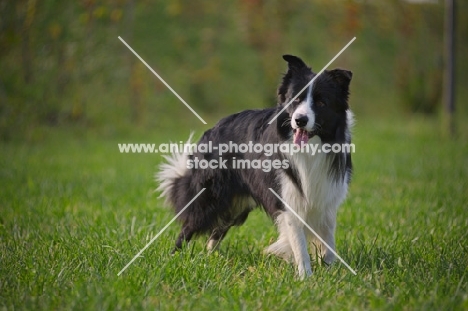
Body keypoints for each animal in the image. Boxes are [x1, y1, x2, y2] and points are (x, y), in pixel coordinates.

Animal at [155, 54, 352, 280]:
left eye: (320, 102)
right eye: (295, 100)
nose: (300, 120)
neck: (311, 148)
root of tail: (213, 129)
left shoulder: (327, 198)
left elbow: (328, 244)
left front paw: (330, 271)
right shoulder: (288, 200)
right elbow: (300, 245)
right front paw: (305, 278)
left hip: (236, 205)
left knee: (215, 233)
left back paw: (211, 260)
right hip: (211, 198)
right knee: (188, 228)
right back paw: (172, 259)